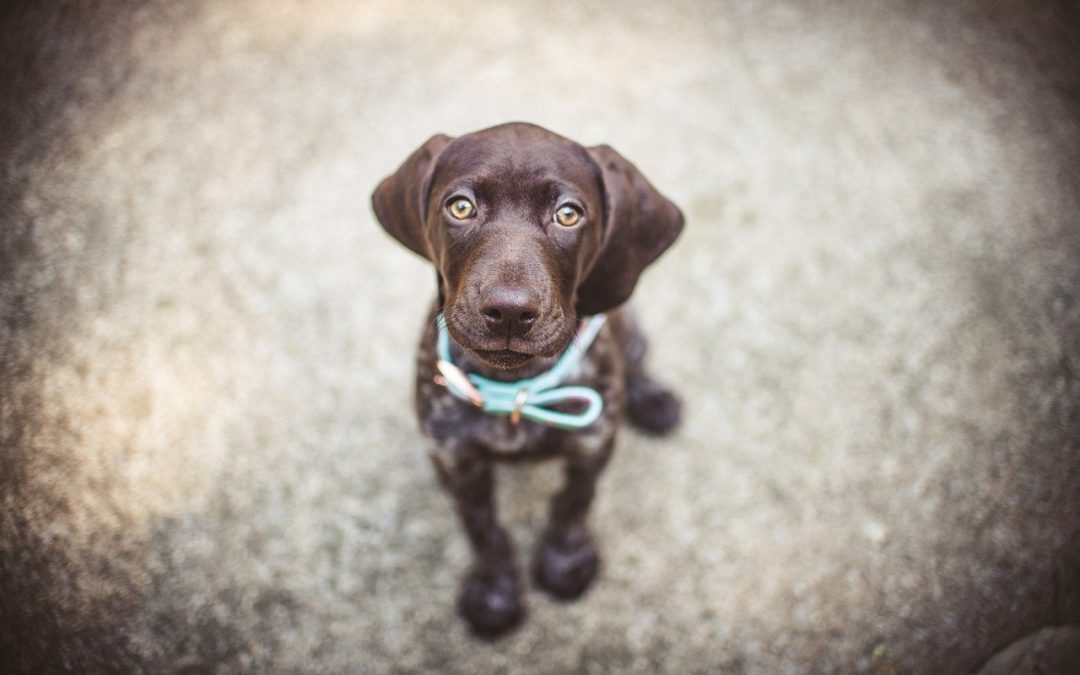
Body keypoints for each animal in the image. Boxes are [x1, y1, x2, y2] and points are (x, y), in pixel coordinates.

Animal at [371, 122, 682, 635]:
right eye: (460, 207)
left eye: (568, 214)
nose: (511, 312)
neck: (516, 389)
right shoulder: (456, 459)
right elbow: (482, 529)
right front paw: (494, 590)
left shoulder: (592, 443)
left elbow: (574, 503)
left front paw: (565, 561)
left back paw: (654, 400)